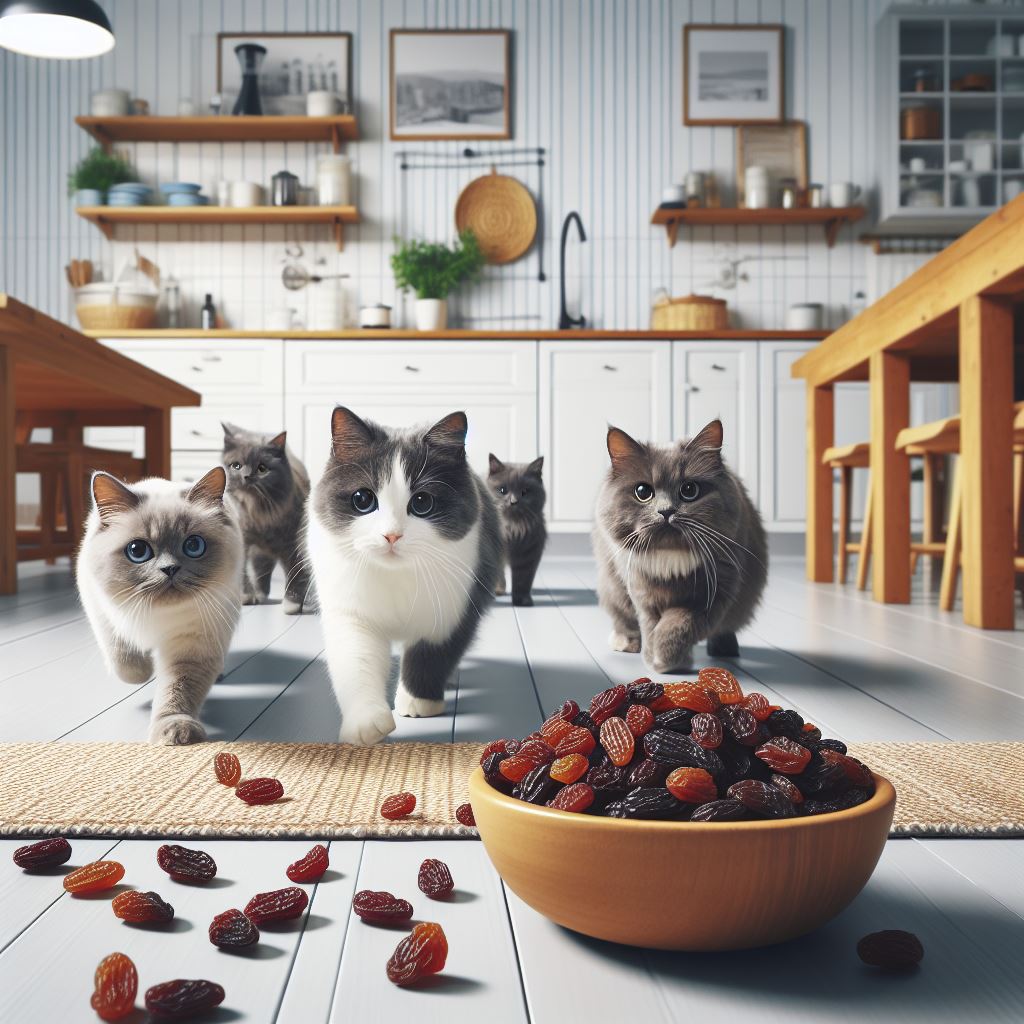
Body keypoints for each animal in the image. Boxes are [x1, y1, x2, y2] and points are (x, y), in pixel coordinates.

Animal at [76, 468, 243, 745]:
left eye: (194, 546)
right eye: (138, 551)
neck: (157, 615)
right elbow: (125, 660)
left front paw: (176, 733)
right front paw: (144, 672)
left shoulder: (192, 646)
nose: (170, 569)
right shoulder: (103, 613)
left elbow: (177, 693)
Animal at [219, 419, 307, 610]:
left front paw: (292, 603)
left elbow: (295, 574)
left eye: (262, 469)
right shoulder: (244, 540)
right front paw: (246, 596)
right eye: (236, 466)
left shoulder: (293, 544)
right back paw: (259, 594)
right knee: (262, 571)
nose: (246, 476)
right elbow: (243, 573)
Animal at [307, 405, 503, 745]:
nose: (391, 536)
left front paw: (417, 702)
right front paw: (365, 724)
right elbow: (356, 661)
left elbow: (431, 655)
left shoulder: (453, 609)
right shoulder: (351, 613)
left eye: (422, 502)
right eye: (362, 499)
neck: (395, 576)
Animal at [489, 452, 548, 602]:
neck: (511, 528)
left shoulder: (528, 552)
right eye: (502, 490)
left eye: (525, 492)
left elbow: (523, 579)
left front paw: (522, 600)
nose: (513, 501)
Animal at [589, 419, 765, 675]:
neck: (670, 559)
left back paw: (724, 648)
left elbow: (678, 624)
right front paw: (654, 656)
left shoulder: (714, 592)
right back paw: (626, 643)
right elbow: (650, 625)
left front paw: (665, 659)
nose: (666, 511)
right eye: (643, 492)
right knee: (624, 620)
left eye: (689, 490)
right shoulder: (641, 591)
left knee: (725, 628)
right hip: (612, 586)